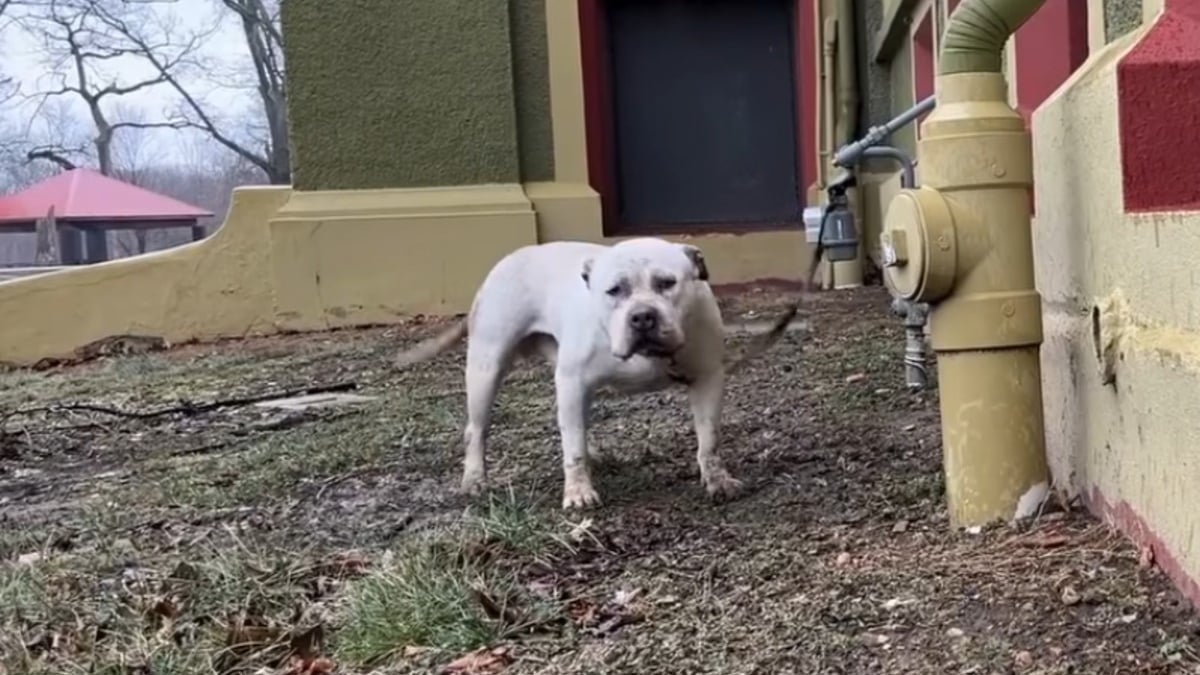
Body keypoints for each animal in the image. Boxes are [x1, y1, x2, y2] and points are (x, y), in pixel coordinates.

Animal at [391, 235, 796, 504]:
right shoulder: (572, 382)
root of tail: (509, 258)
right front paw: (579, 492)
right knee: (477, 429)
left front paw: (717, 479)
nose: (642, 317)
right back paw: (475, 478)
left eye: (667, 283)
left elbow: (709, 439)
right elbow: (572, 448)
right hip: (487, 367)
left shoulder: (708, 378)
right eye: (614, 290)